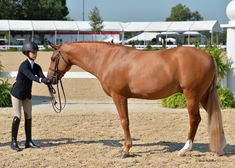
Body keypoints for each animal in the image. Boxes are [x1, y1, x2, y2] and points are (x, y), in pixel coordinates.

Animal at [47, 42, 226, 158]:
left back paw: (185, 149)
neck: (107, 58)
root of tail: (209, 55)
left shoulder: (119, 96)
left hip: (192, 95)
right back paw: (221, 147)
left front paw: (125, 150)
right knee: (214, 115)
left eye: (53, 58)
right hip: (203, 95)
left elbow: (124, 121)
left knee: (194, 119)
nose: (50, 79)